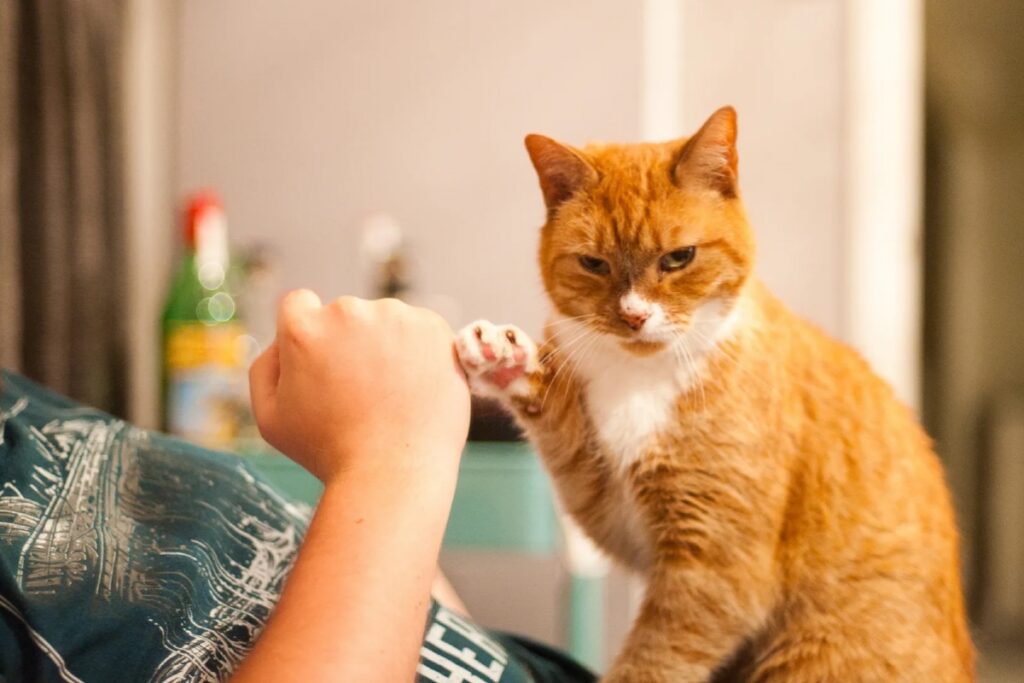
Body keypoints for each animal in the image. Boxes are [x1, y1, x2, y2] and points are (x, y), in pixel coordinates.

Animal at [456, 108, 974, 683]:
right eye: (593, 264)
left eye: (679, 258)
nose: (633, 316)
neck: (645, 376)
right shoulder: (607, 502)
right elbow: (560, 423)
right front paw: (504, 360)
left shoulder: (714, 569)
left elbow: (653, 663)